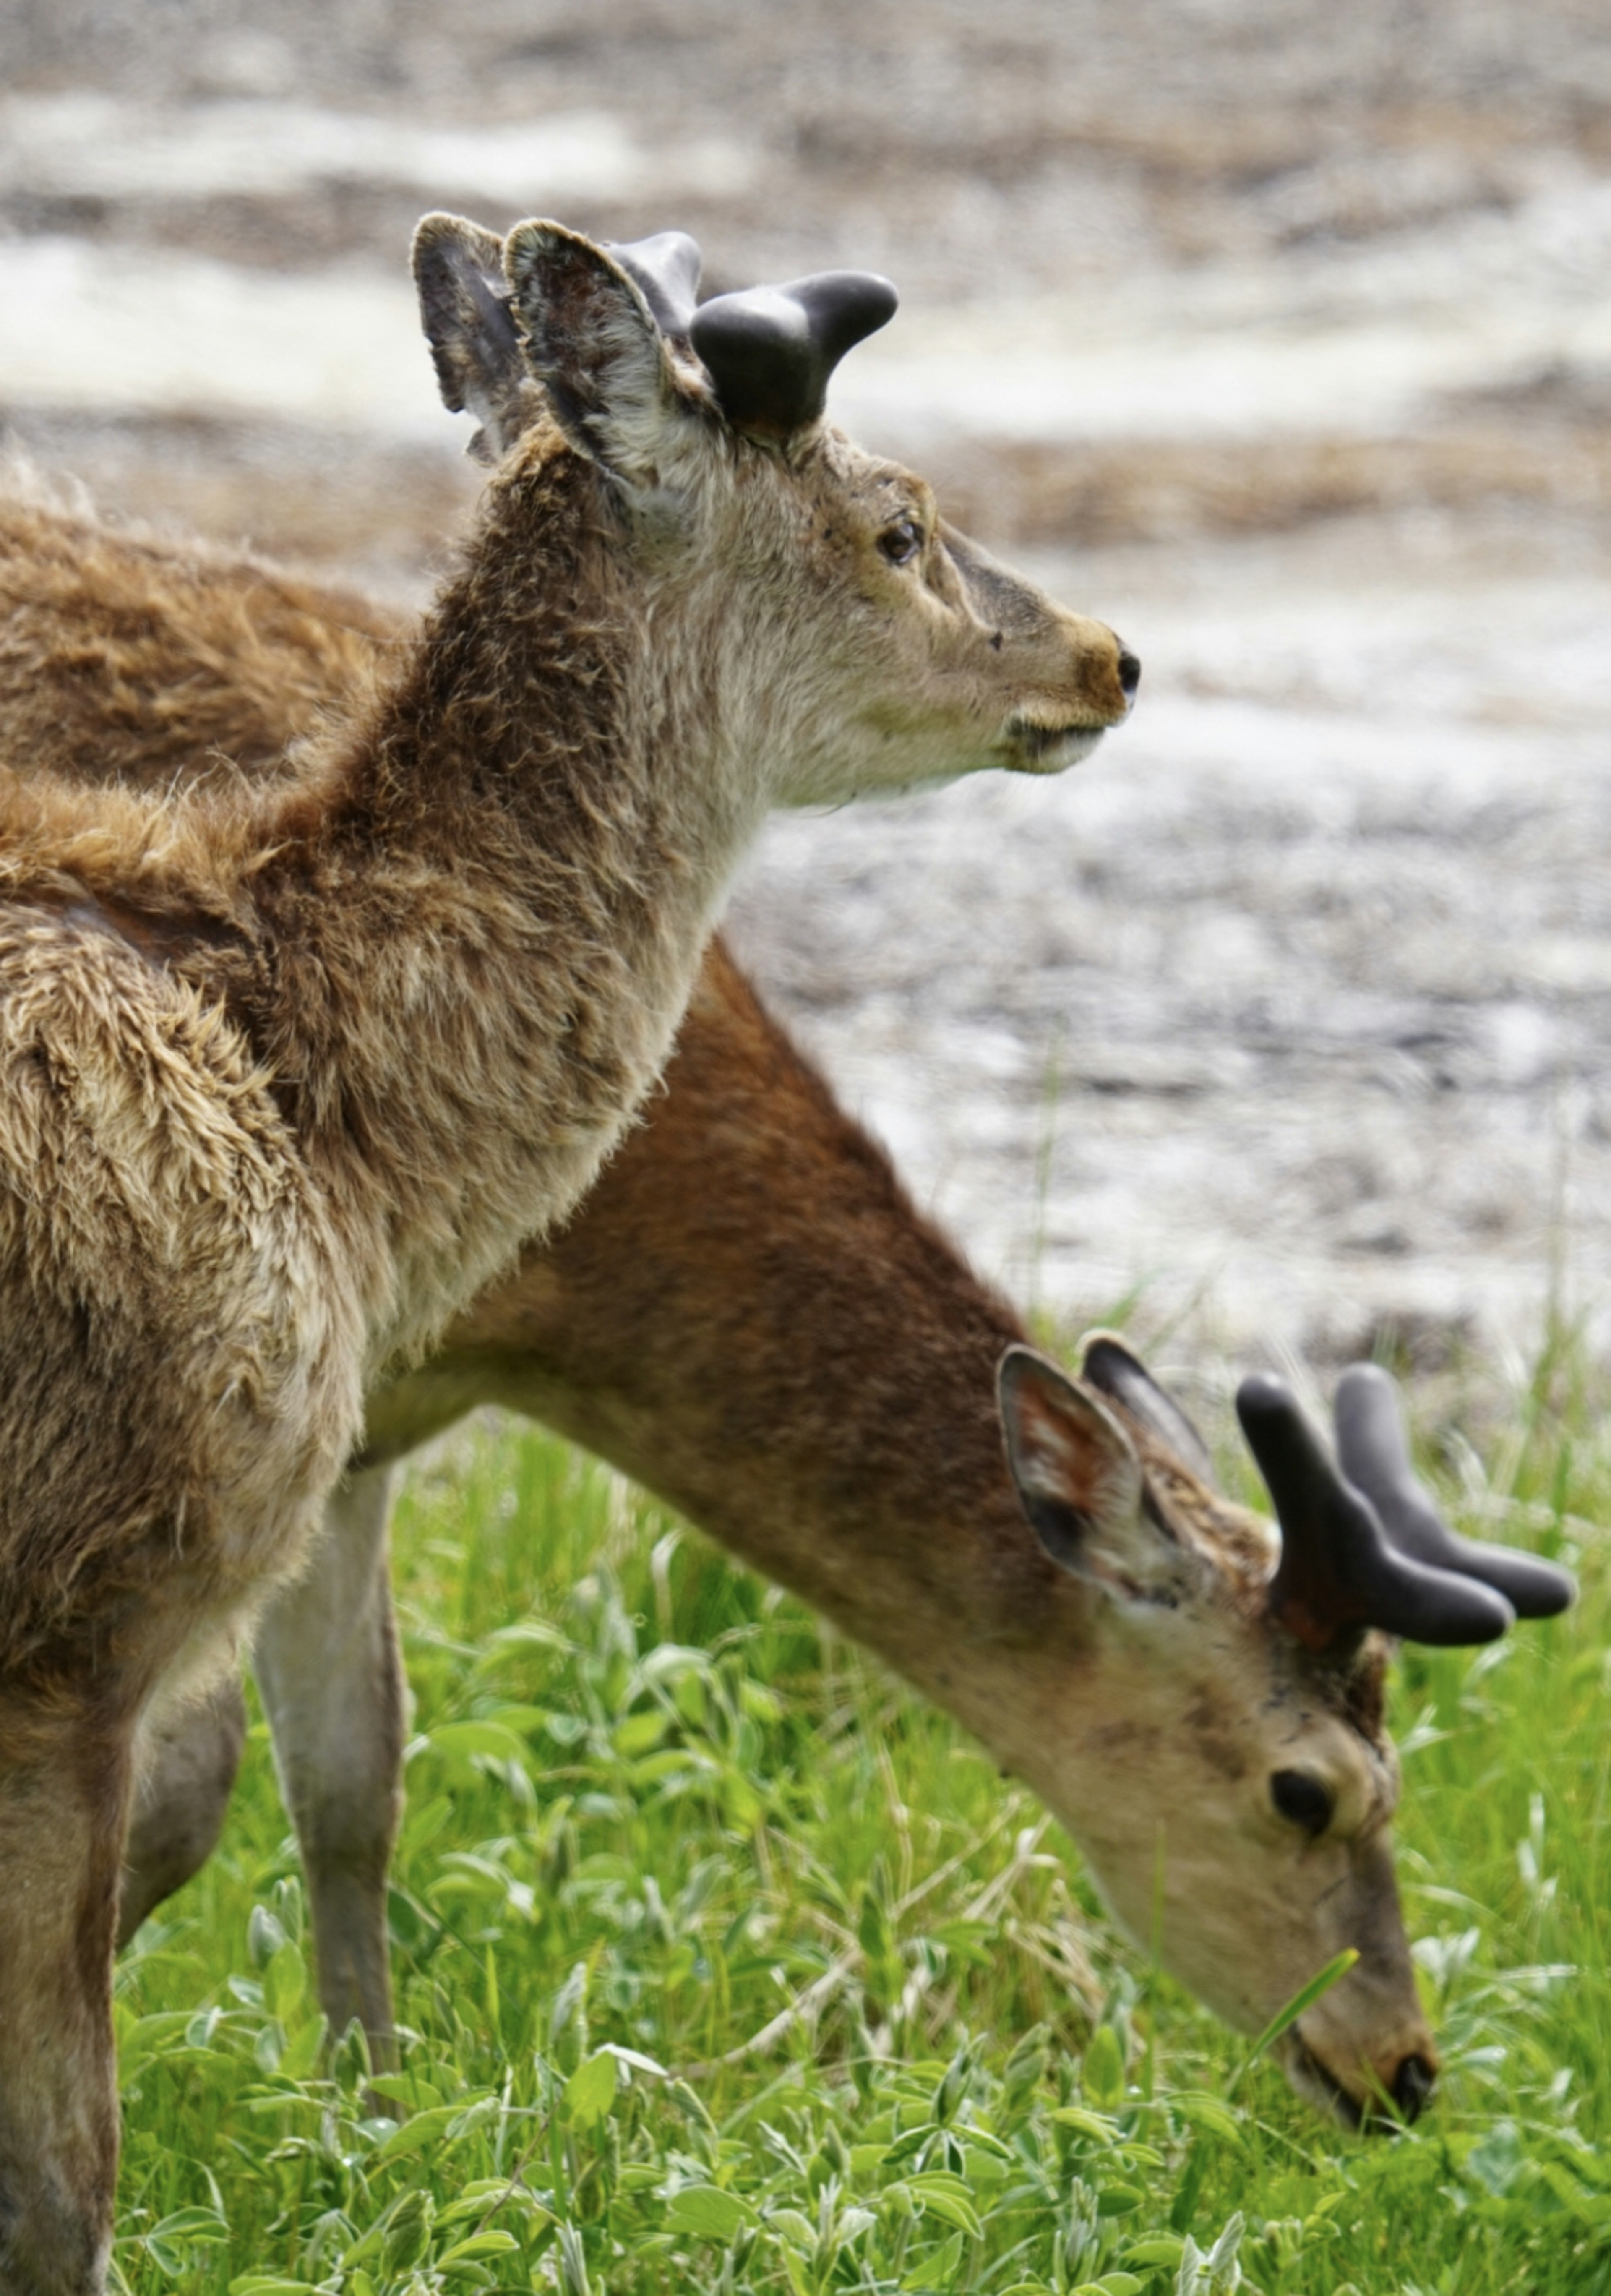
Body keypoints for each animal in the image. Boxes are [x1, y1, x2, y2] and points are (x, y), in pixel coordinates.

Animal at [0, 466, 1560, 2131]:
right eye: (1305, 1788)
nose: (1400, 2064)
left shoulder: (360, 1434)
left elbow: (353, 1781)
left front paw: (372, 2115)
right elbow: (189, 1794)